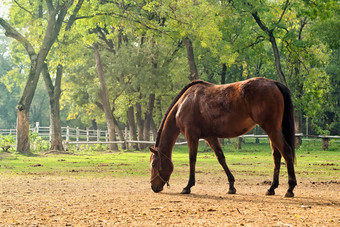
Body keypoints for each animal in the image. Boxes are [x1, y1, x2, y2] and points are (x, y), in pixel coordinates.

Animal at [150, 77, 296, 197]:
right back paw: (271, 188)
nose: (153, 187)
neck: (184, 103)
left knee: (287, 152)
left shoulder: (191, 136)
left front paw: (188, 186)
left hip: (272, 130)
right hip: (272, 132)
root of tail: (274, 83)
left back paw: (290, 188)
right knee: (277, 156)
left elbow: (192, 159)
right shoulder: (210, 137)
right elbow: (221, 158)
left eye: (153, 164)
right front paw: (231, 185)